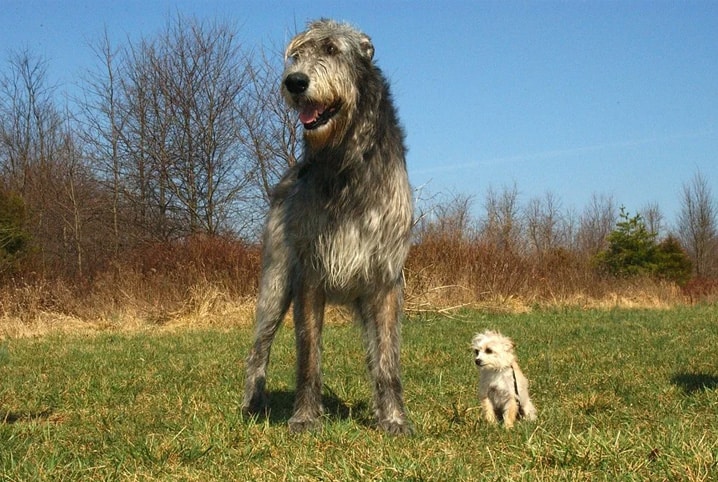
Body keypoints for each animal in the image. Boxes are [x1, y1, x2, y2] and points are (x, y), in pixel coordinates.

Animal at [242, 18, 414, 434]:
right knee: (259, 347)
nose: (295, 82)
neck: (345, 161)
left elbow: (387, 360)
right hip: (274, 283)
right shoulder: (309, 275)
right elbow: (308, 355)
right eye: (296, 55)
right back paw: (253, 402)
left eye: (333, 50)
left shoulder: (386, 279)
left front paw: (394, 418)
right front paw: (305, 417)